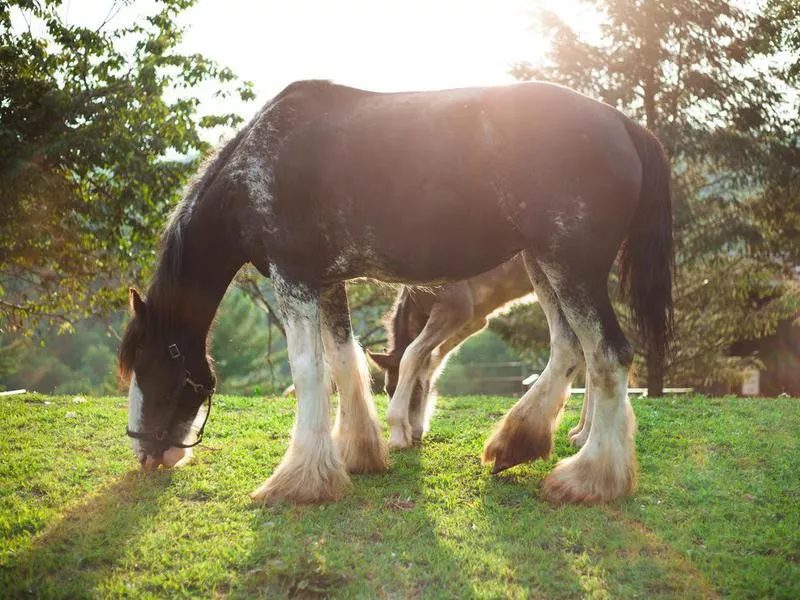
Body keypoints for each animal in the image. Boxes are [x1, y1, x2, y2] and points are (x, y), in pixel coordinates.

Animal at [119, 77, 672, 504]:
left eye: (147, 362)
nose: (146, 452)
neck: (256, 166)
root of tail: (623, 124)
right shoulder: (326, 282)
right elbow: (345, 363)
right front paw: (357, 453)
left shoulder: (294, 279)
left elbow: (312, 371)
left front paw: (297, 480)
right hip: (544, 265)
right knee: (569, 349)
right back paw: (520, 441)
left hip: (570, 267)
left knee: (608, 354)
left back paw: (590, 477)